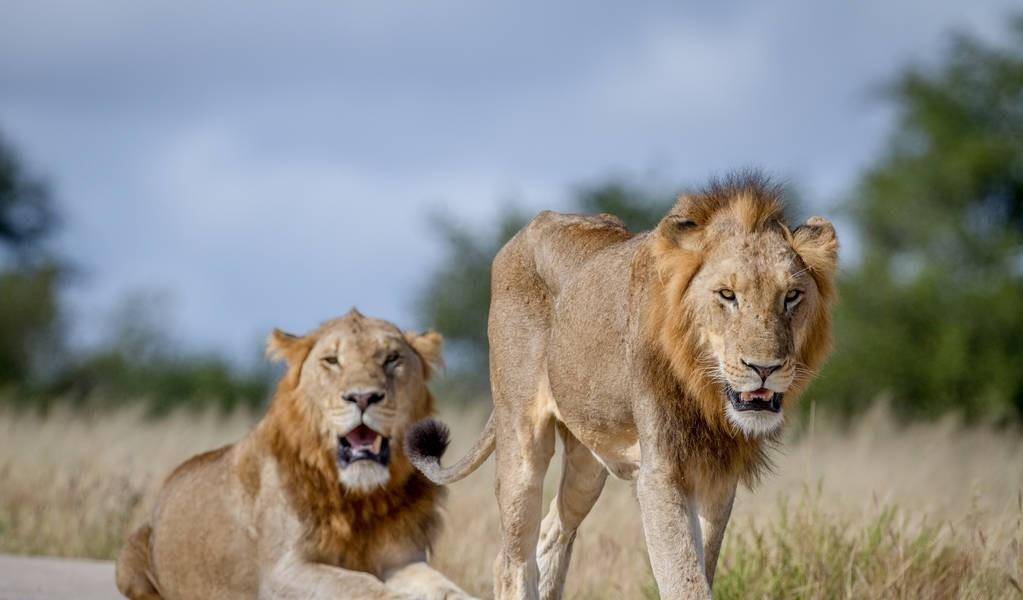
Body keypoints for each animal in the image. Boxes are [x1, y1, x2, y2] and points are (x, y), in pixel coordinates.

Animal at [116, 310, 474, 600]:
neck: (361, 499)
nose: (363, 397)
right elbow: (360, 585)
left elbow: (446, 589)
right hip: (129, 557)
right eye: (332, 360)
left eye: (392, 358)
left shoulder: (403, 558)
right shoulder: (282, 572)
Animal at [407, 173, 838, 600]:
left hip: (587, 462)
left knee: (553, 531)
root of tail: (527, 229)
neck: (706, 392)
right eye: (727, 295)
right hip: (521, 436)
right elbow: (684, 580)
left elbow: (702, 569)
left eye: (792, 296)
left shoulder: (717, 476)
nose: (765, 368)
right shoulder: (660, 474)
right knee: (513, 560)